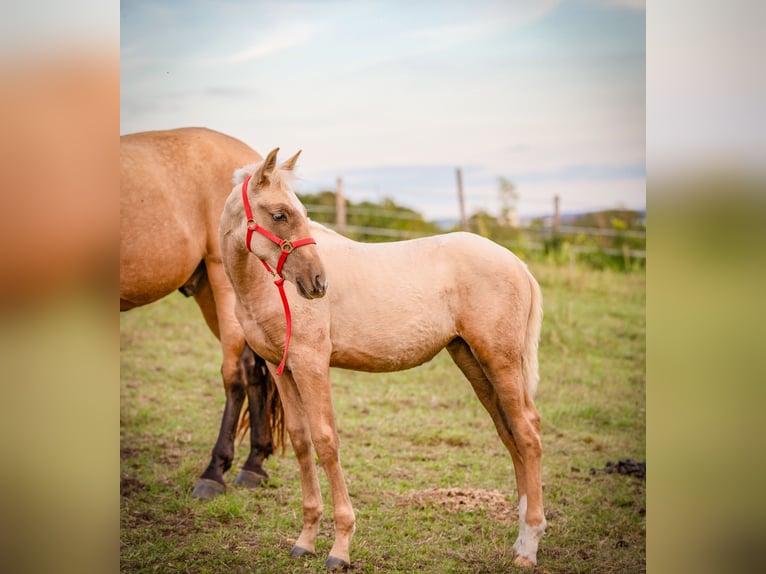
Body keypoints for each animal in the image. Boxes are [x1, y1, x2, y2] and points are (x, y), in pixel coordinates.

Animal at [219, 150, 548, 572]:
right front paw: (305, 541)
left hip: (500, 362)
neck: (263, 287)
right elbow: (301, 441)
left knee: (528, 433)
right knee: (510, 434)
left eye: (300, 212)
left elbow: (326, 441)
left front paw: (340, 547)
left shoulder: (311, 364)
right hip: (473, 362)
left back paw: (528, 545)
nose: (318, 283)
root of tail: (517, 264)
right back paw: (522, 533)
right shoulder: (285, 370)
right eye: (279, 214)